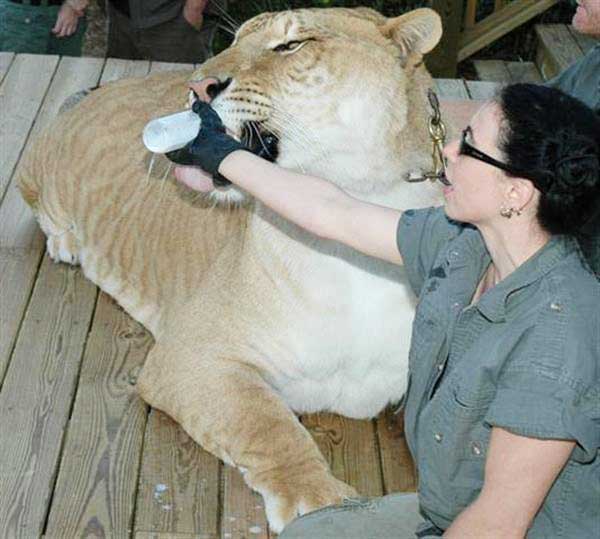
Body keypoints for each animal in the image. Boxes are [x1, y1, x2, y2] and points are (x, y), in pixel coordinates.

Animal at [16, 7, 442, 532]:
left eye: (291, 46)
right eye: (234, 40)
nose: (197, 87)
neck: (351, 226)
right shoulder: (188, 357)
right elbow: (268, 424)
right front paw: (317, 499)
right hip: (35, 168)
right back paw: (64, 242)